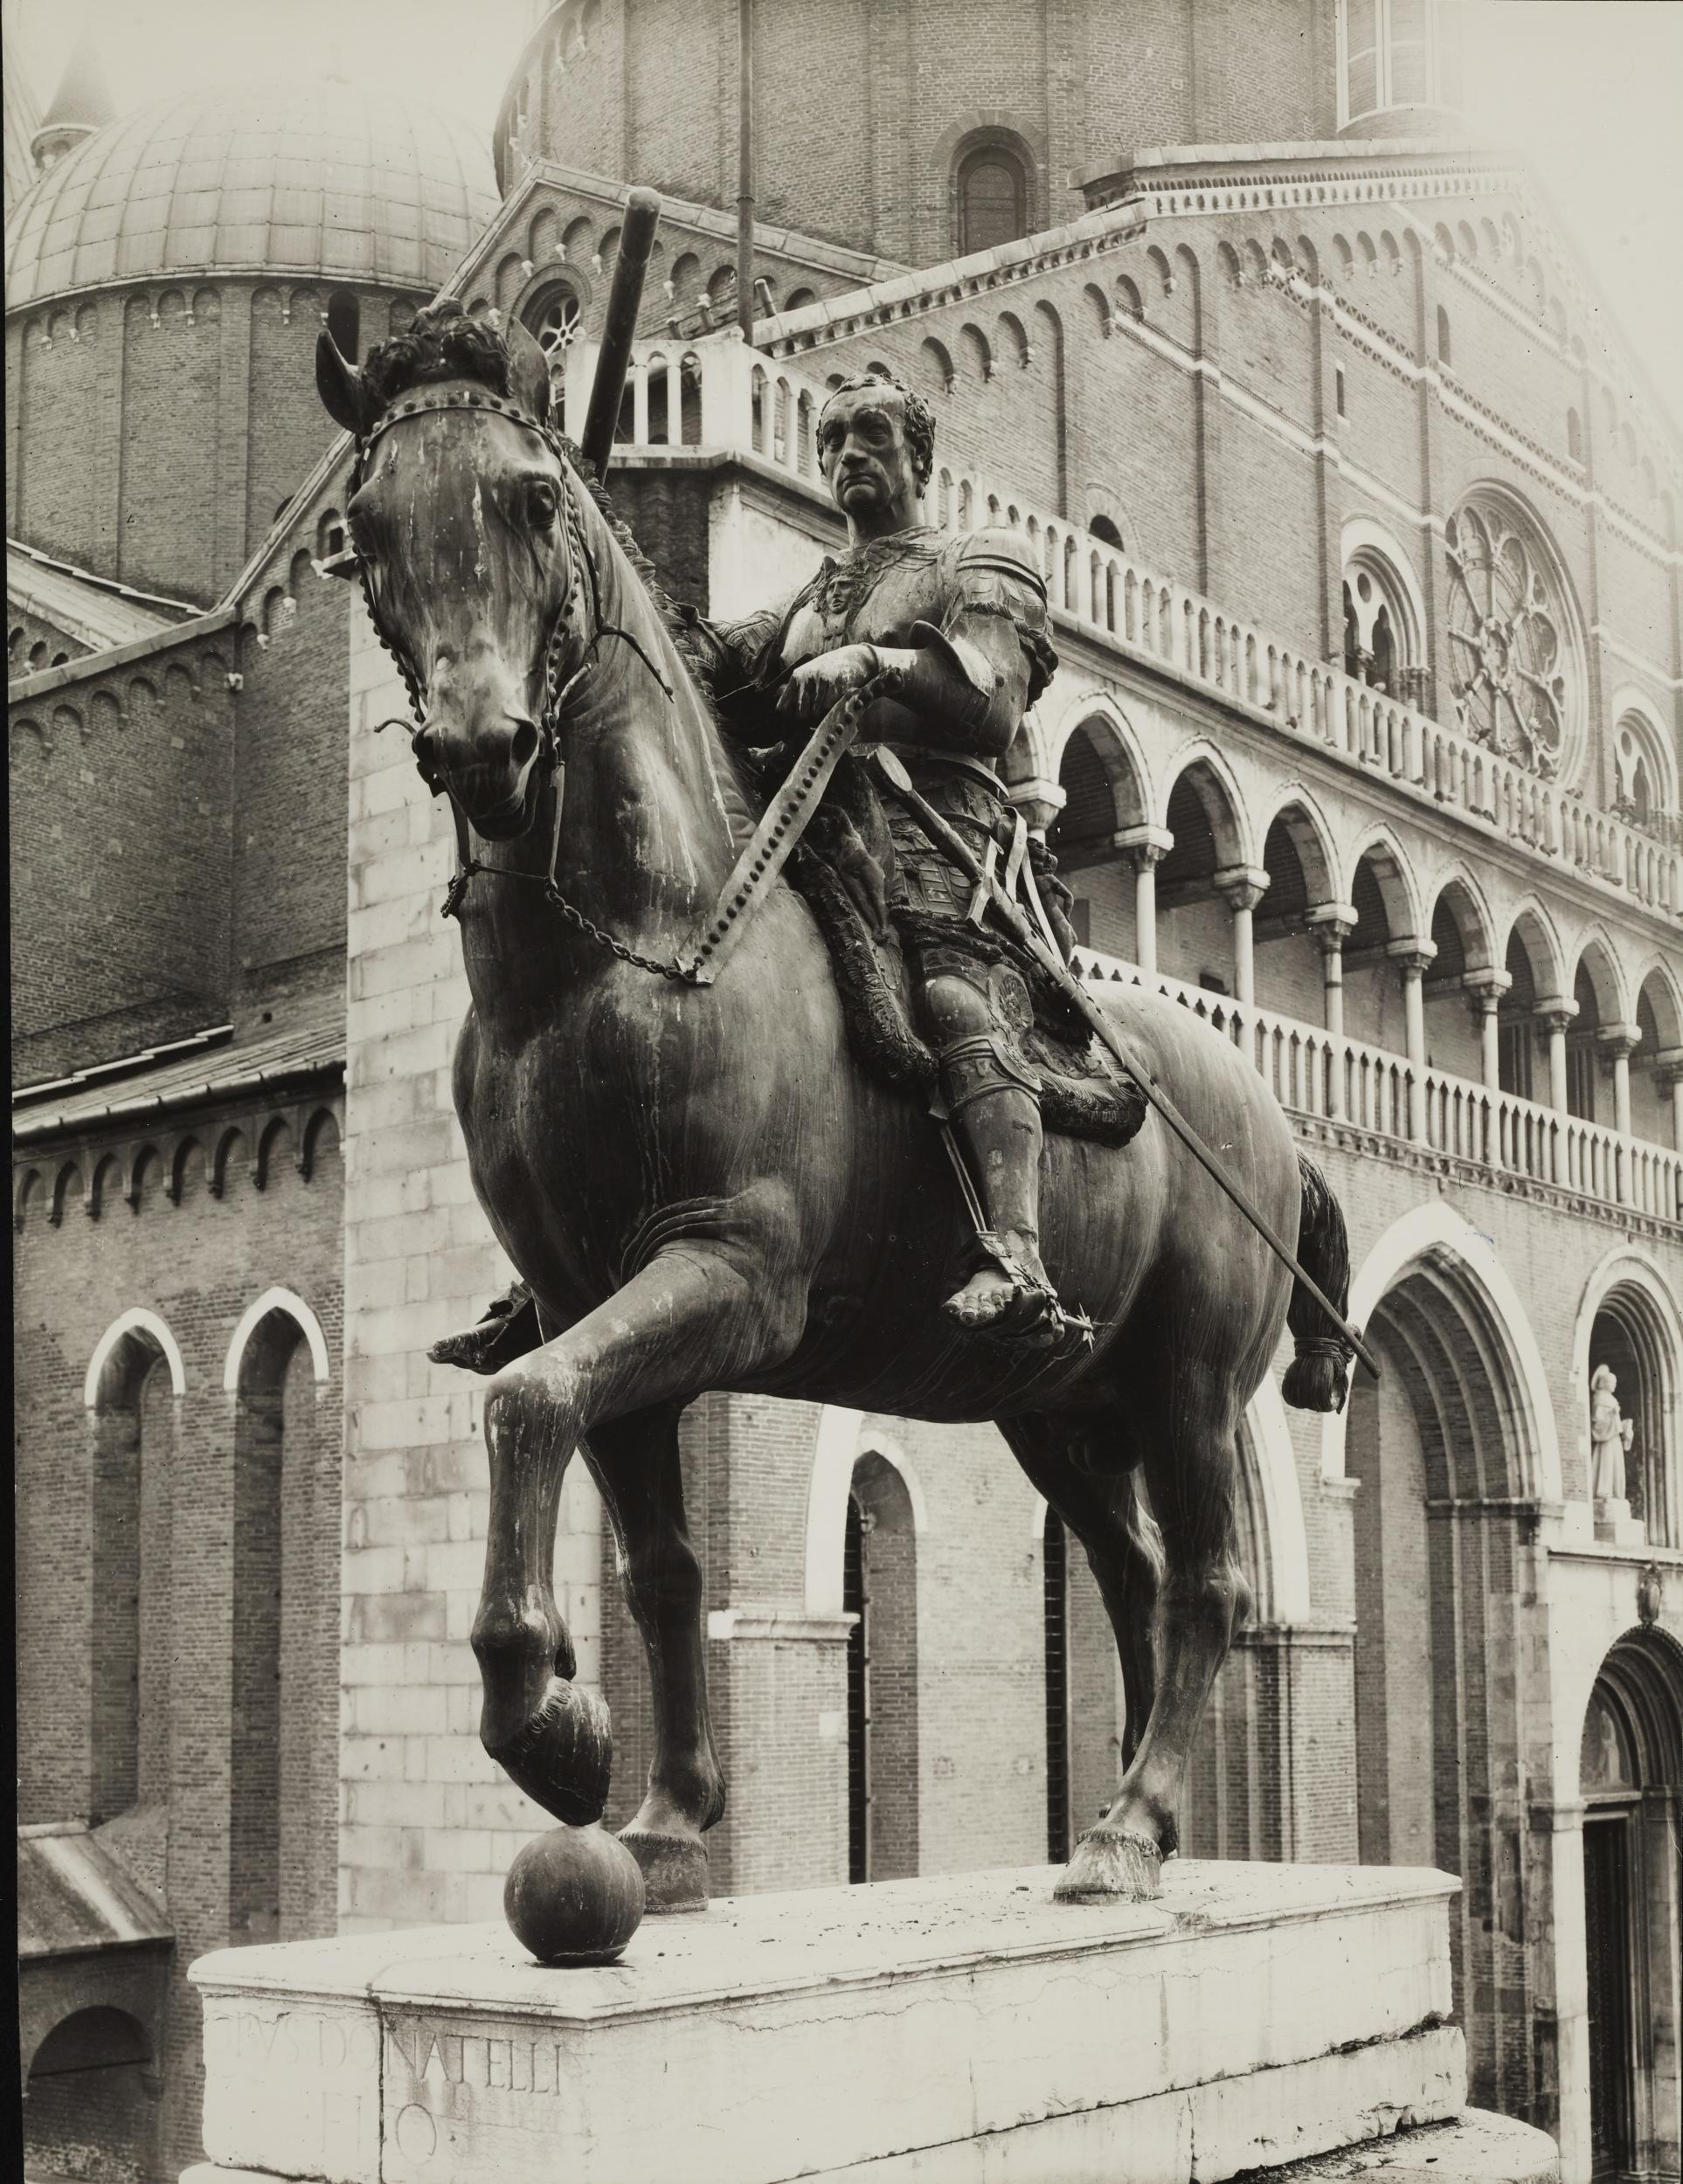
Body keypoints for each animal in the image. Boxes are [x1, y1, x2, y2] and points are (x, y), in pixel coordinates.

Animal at [319, 303, 1346, 1913]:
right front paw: (667, 1823)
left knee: (1208, 1585)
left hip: (1186, 1388)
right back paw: (1137, 1817)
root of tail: (1271, 1123)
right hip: (1058, 1407)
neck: (617, 959)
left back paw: (1128, 1833)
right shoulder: (584, 1298)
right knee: (1129, 1577)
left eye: (534, 498)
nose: (485, 745)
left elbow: (522, 1405)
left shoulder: (733, 1279)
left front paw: (547, 1725)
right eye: (365, 529)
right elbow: (654, 1556)